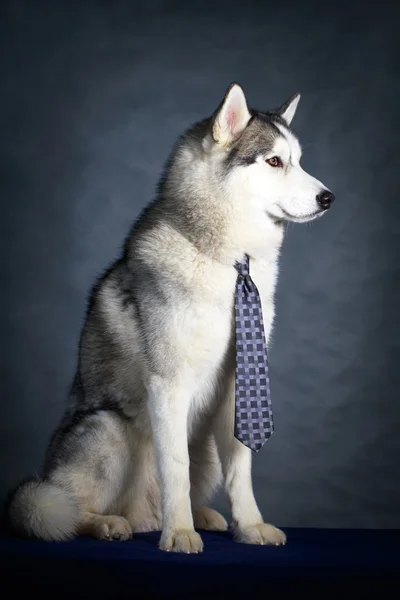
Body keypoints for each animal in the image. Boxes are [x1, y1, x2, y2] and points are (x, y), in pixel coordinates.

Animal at [7, 84, 336, 552]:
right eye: (274, 161)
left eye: (299, 160)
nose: (329, 197)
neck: (229, 261)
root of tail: (142, 515)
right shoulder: (169, 384)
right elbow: (175, 467)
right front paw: (179, 532)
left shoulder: (240, 390)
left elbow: (242, 470)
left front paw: (250, 526)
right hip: (106, 430)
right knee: (65, 508)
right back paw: (110, 523)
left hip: (208, 446)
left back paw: (204, 517)